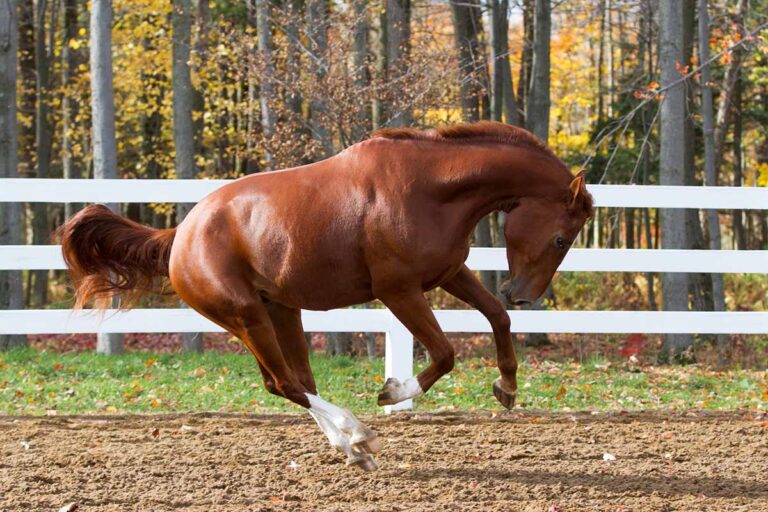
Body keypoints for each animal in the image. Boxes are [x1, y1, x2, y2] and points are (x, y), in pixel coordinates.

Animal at [63, 122, 596, 470]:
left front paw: (506, 387)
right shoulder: (399, 291)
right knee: (283, 383)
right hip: (245, 316)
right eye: (561, 239)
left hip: (282, 310)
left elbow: (496, 317)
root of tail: (180, 236)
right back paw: (358, 434)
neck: (433, 189)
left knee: (298, 380)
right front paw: (392, 392)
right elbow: (445, 353)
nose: (523, 293)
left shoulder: (449, 272)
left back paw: (350, 447)